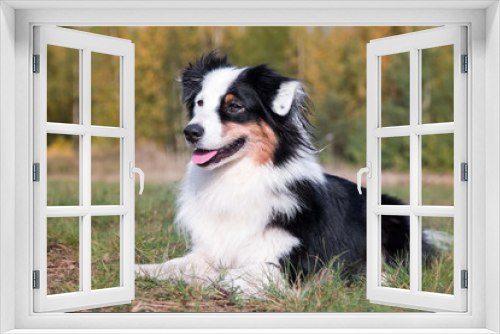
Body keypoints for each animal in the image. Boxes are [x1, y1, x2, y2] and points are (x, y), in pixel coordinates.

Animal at [135, 51, 436, 294]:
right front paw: (141, 271)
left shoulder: (292, 266)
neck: (237, 177)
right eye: (199, 104)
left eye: (234, 106)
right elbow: (174, 265)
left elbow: (223, 275)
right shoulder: (211, 249)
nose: (190, 132)